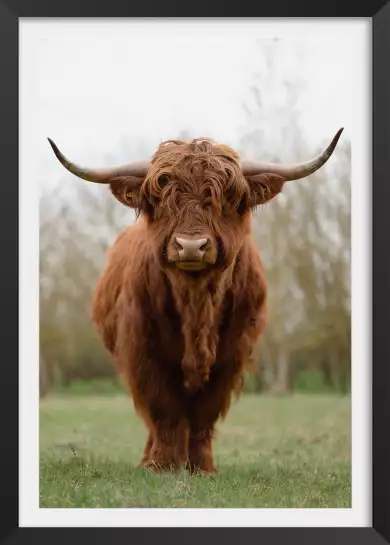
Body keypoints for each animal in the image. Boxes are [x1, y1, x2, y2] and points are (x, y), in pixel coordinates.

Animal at [47, 130, 342, 474]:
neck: (197, 305)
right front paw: (162, 465)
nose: (190, 246)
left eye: (227, 199)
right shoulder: (143, 351)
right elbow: (164, 410)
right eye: (161, 199)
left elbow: (204, 413)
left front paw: (202, 467)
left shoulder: (232, 352)